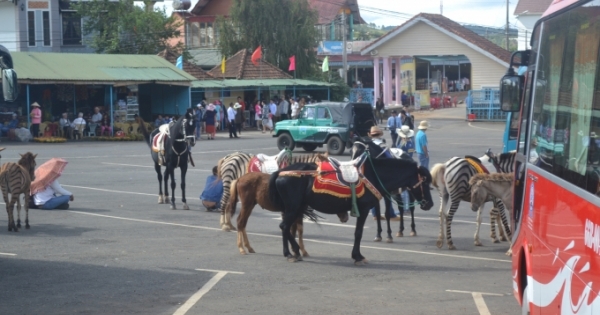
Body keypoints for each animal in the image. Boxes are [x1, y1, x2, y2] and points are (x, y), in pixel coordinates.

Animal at [270, 153, 434, 264]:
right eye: (425, 182)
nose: (430, 204)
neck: (375, 175)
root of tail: (280, 172)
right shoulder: (364, 209)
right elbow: (358, 233)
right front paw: (358, 256)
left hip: (296, 207)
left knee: (287, 227)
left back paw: (295, 252)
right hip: (293, 207)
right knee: (284, 226)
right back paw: (290, 253)